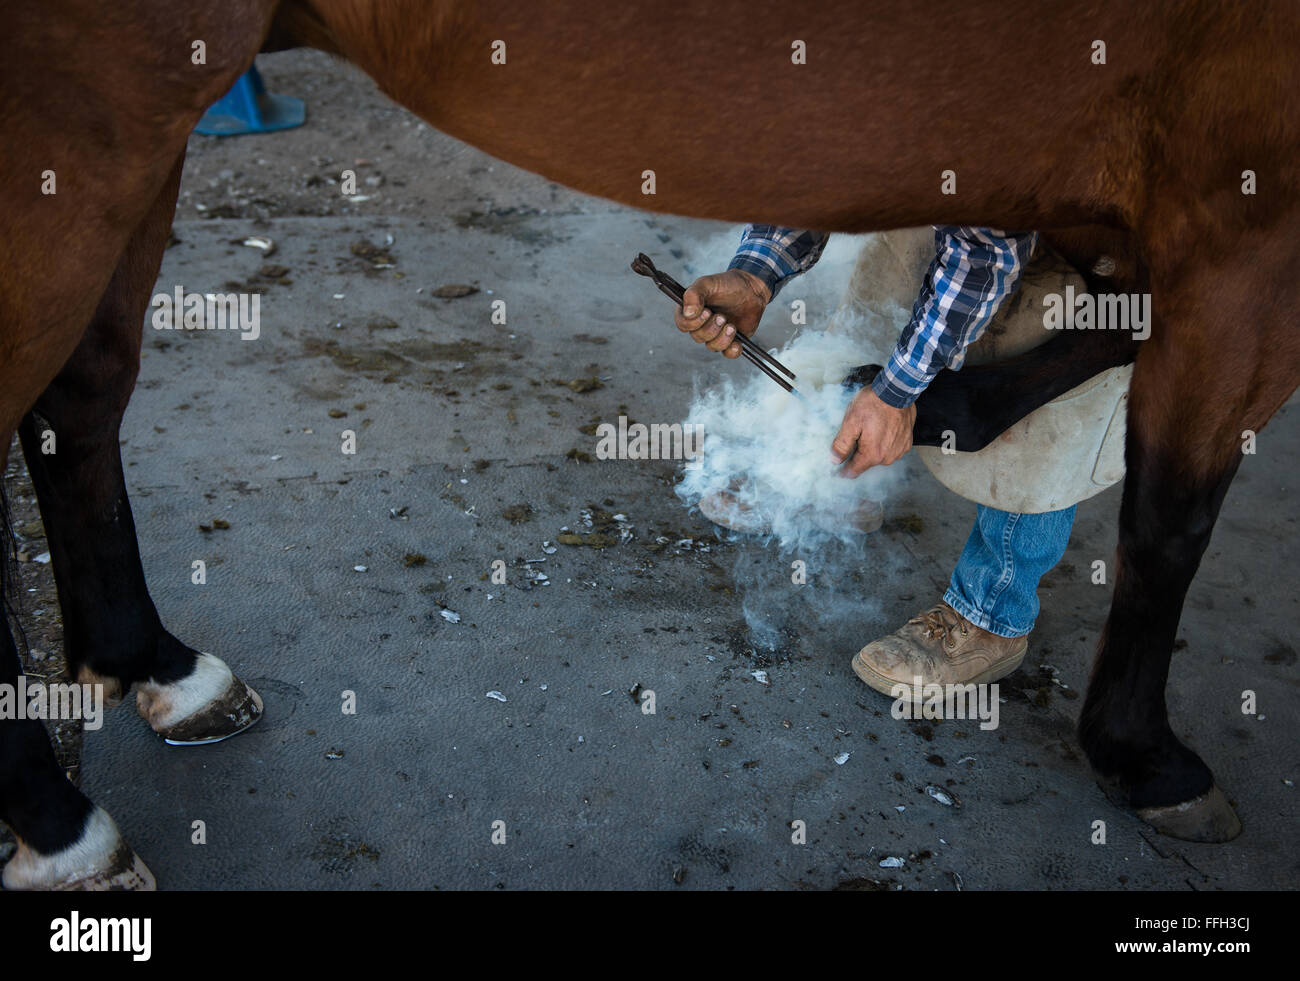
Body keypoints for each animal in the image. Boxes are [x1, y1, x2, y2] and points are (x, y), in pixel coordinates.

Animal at [2, 1, 1300, 888]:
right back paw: (62, 827)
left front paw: (929, 401)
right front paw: (1144, 755)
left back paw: (159, 669)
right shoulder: (1239, 220)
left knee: (85, 399)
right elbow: (1171, 515)